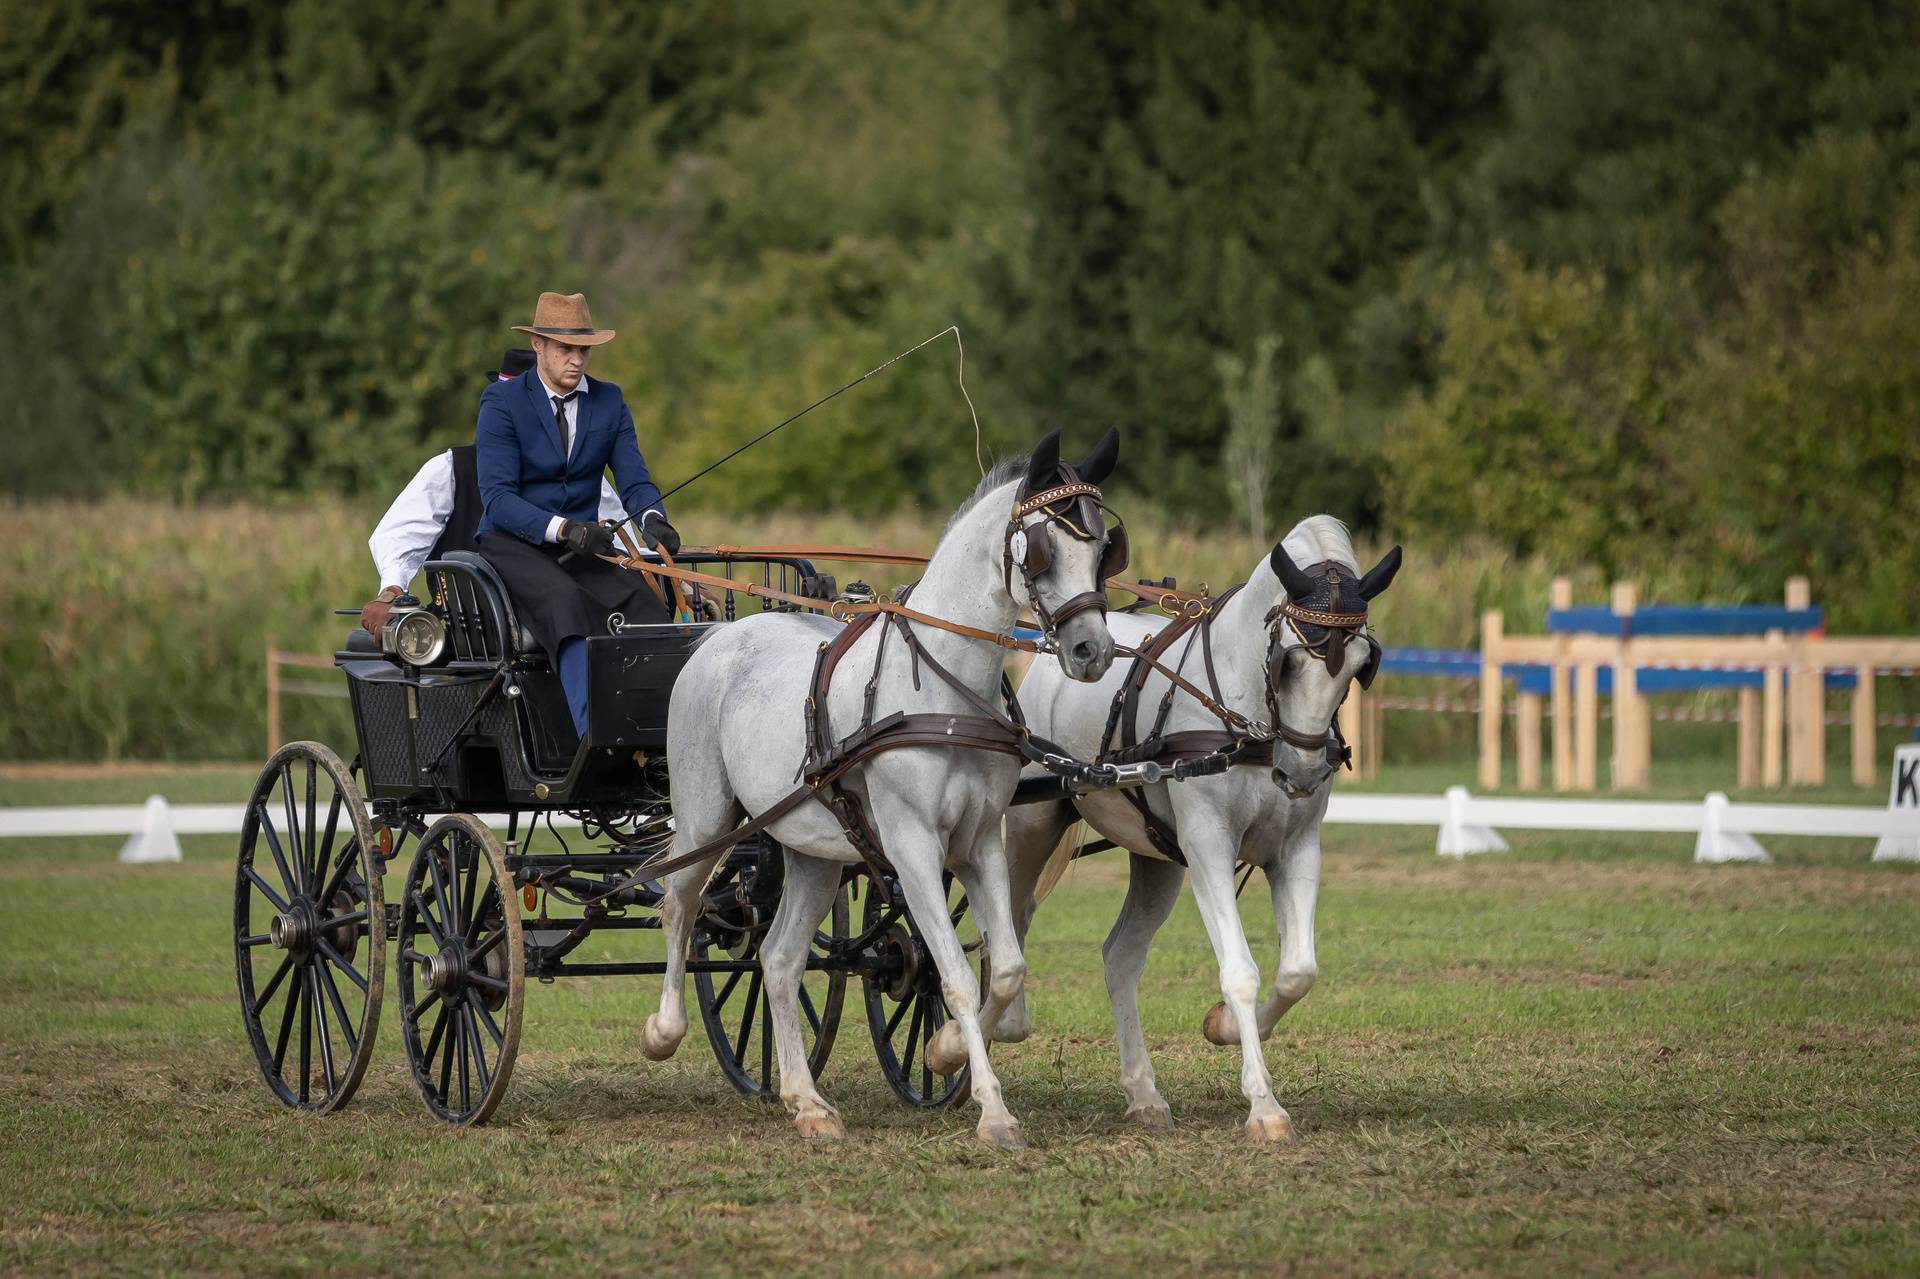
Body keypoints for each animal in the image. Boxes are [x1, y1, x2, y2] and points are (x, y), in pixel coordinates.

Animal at [645, 428, 1121, 1144]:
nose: (1091, 652)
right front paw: (993, 1109)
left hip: (811, 851)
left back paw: (807, 1101)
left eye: (1102, 549)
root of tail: (724, 634)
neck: (942, 686)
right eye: (1039, 547)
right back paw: (665, 1030)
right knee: (681, 905)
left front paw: (945, 1052)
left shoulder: (977, 843)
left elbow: (1005, 967)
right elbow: (956, 974)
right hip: (706, 818)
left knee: (778, 959)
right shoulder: (914, 847)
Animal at [1006, 514, 1397, 1136]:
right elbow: (1240, 971)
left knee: (1120, 956)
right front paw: (1264, 1105)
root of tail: (1058, 648)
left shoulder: (1296, 848)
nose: (1302, 771)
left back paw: (1143, 1094)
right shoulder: (1209, 842)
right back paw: (971, 1037)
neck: (1249, 718)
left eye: (1362, 666)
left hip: (1158, 856)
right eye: (1288, 660)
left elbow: (1299, 970)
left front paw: (1227, 1028)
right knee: (1013, 922)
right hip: (1033, 823)